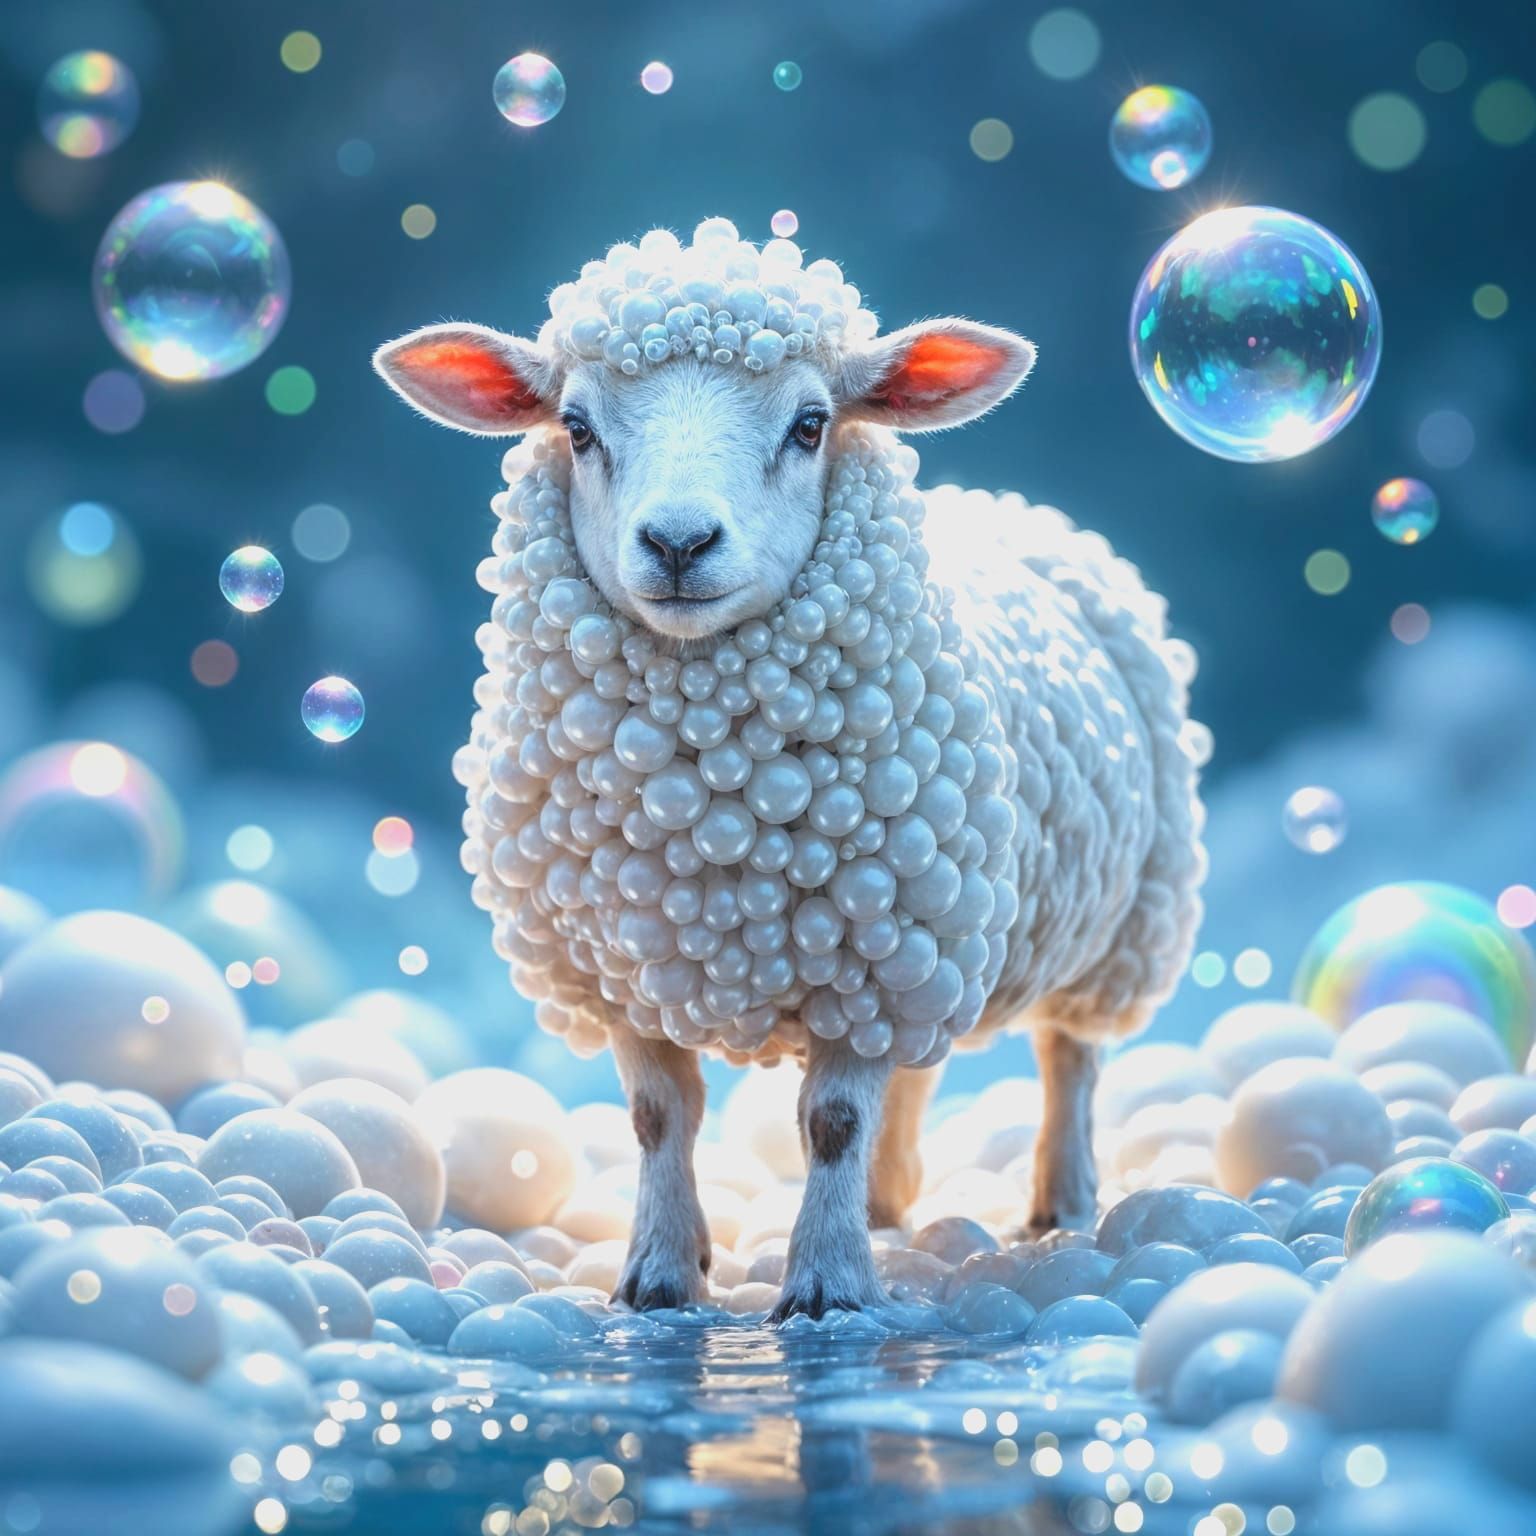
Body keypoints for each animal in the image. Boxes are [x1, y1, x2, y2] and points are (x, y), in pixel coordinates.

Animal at [375, 218, 1207, 1319]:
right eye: (578, 428)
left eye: (811, 424)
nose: (679, 542)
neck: (707, 813)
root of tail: (1009, 505)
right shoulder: (623, 974)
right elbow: (658, 1117)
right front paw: (659, 1274)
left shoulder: (873, 964)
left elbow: (831, 1124)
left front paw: (825, 1284)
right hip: (935, 938)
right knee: (920, 1071)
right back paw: (891, 1203)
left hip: (1109, 931)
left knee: (1068, 1060)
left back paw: (1059, 1202)